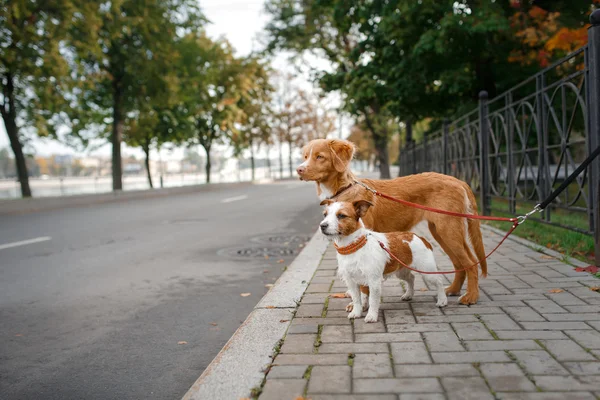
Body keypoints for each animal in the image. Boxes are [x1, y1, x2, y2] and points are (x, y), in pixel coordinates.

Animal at [296, 138, 488, 304]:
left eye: (320, 156)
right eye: (305, 156)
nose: (299, 170)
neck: (343, 189)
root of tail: (458, 180)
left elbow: (364, 285)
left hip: (448, 230)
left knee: (470, 263)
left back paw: (471, 296)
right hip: (440, 232)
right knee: (459, 263)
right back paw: (454, 290)